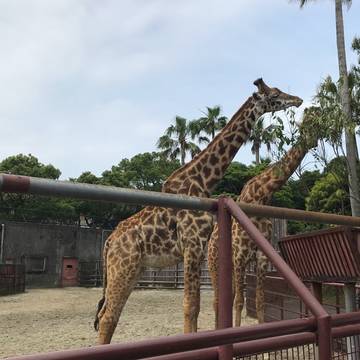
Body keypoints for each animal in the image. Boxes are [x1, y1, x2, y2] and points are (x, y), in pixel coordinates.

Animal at [93, 79, 300, 344]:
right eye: (274, 94)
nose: (298, 100)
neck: (202, 182)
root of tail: (109, 241)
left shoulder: (198, 249)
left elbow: (197, 305)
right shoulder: (191, 245)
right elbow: (190, 306)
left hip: (132, 269)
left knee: (108, 314)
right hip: (123, 267)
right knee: (108, 316)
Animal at [207, 107, 322, 330]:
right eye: (307, 124)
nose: (313, 141)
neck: (260, 197)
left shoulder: (260, 258)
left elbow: (259, 301)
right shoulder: (240, 255)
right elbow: (239, 301)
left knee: (227, 297)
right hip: (214, 263)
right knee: (217, 299)